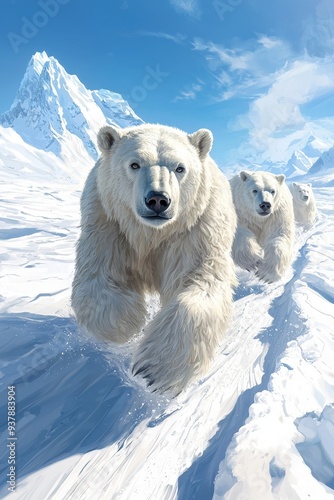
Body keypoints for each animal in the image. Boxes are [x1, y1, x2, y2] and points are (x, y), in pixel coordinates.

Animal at [71, 122, 236, 394]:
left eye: (180, 168)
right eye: (134, 164)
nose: (158, 199)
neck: (152, 234)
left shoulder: (194, 231)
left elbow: (201, 281)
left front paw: (155, 370)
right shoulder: (110, 223)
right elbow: (100, 274)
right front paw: (125, 324)